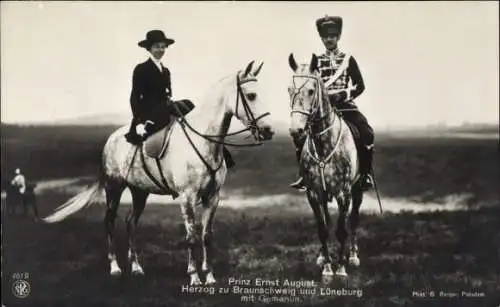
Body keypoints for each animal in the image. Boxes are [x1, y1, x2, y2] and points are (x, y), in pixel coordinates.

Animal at [43, 60, 276, 286]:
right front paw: (194, 277)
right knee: (109, 221)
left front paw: (209, 277)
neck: (204, 142)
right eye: (251, 95)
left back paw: (137, 268)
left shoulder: (213, 197)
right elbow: (191, 236)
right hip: (114, 187)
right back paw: (115, 267)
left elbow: (207, 236)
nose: (269, 131)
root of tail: (111, 138)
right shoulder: (187, 197)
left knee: (130, 222)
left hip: (139, 191)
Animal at [290, 54, 364, 278]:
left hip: (357, 190)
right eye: (289, 89)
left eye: (311, 90)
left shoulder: (343, 193)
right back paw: (323, 256)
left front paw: (340, 268)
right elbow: (322, 228)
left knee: (354, 219)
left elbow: (341, 229)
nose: (296, 130)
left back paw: (353, 256)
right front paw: (327, 267)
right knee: (326, 221)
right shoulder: (314, 193)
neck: (324, 145)